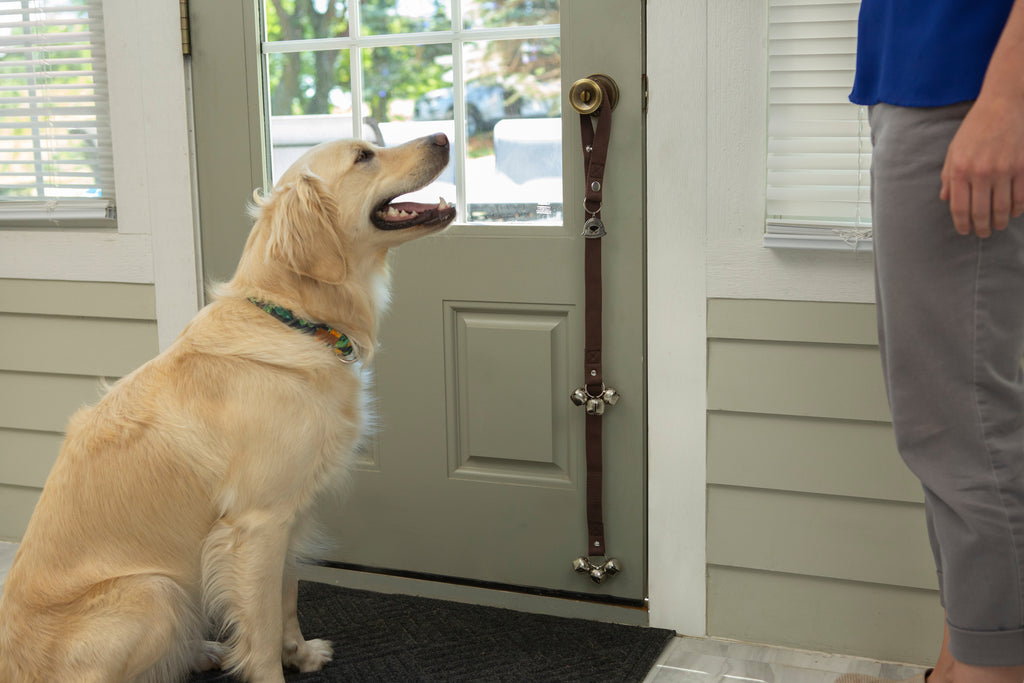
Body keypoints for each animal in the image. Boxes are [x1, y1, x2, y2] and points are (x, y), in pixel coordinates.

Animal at [0, 131, 456, 679]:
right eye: (363, 156)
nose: (444, 137)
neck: (294, 318)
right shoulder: (256, 523)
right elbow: (260, 629)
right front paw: (273, 668)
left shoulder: (289, 513)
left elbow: (286, 599)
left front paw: (299, 653)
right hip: (156, 591)